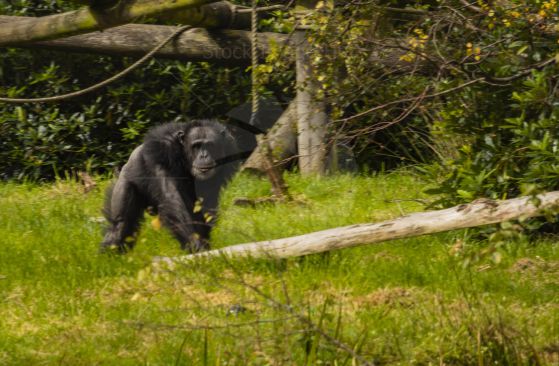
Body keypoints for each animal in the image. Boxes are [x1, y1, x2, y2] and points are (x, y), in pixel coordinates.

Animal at [100, 118, 236, 253]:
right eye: (196, 146)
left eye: (209, 145)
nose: (203, 155)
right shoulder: (163, 150)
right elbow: (171, 197)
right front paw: (195, 243)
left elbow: (206, 201)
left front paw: (203, 243)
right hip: (125, 180)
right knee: (121, 224)